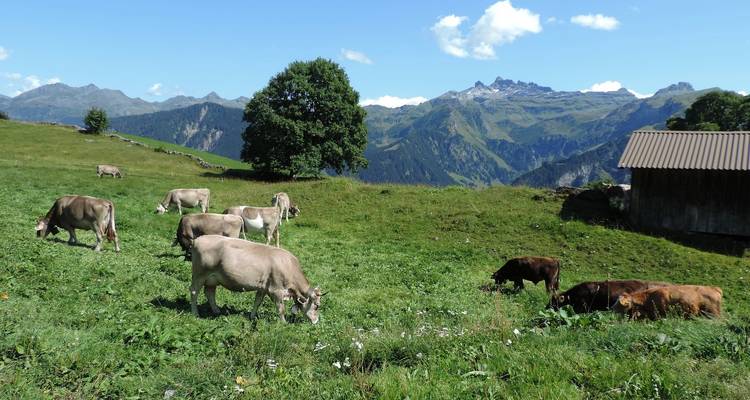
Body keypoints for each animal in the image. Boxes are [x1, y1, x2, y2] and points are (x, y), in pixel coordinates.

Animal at [189, 235, 325, 323]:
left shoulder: (263, 288)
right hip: (199, 275)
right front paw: (284, 323)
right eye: (317, 306)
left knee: (210, 293)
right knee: (194, 292)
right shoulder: (276, 290)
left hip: (212, 279)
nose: (316, 321)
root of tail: (198, 239)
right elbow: (280, 309)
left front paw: (252, 316)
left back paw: (216, 311)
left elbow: (257, 302)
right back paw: (195, 313)